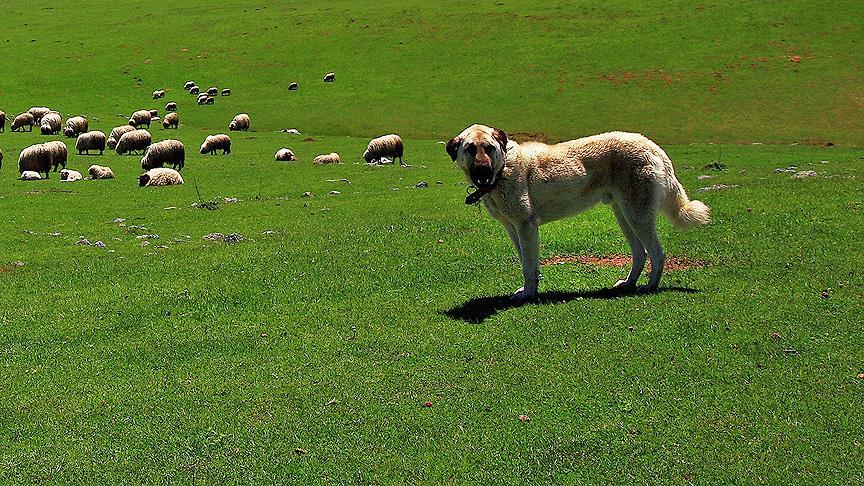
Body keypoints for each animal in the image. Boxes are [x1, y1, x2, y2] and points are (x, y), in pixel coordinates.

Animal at [446, 124, 708, 300]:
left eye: (489, 148)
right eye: (470, 149)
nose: (482, 171)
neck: (501, 172)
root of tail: (651, 145)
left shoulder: (526, 226)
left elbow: (528, 266)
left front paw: (529, 294)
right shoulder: (513, 229)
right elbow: (528, 262)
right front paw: (533, 288)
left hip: (637, 215)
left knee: (656, 252)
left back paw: (650, 286)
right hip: (623, 215)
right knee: (640, 253)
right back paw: (628, 283)